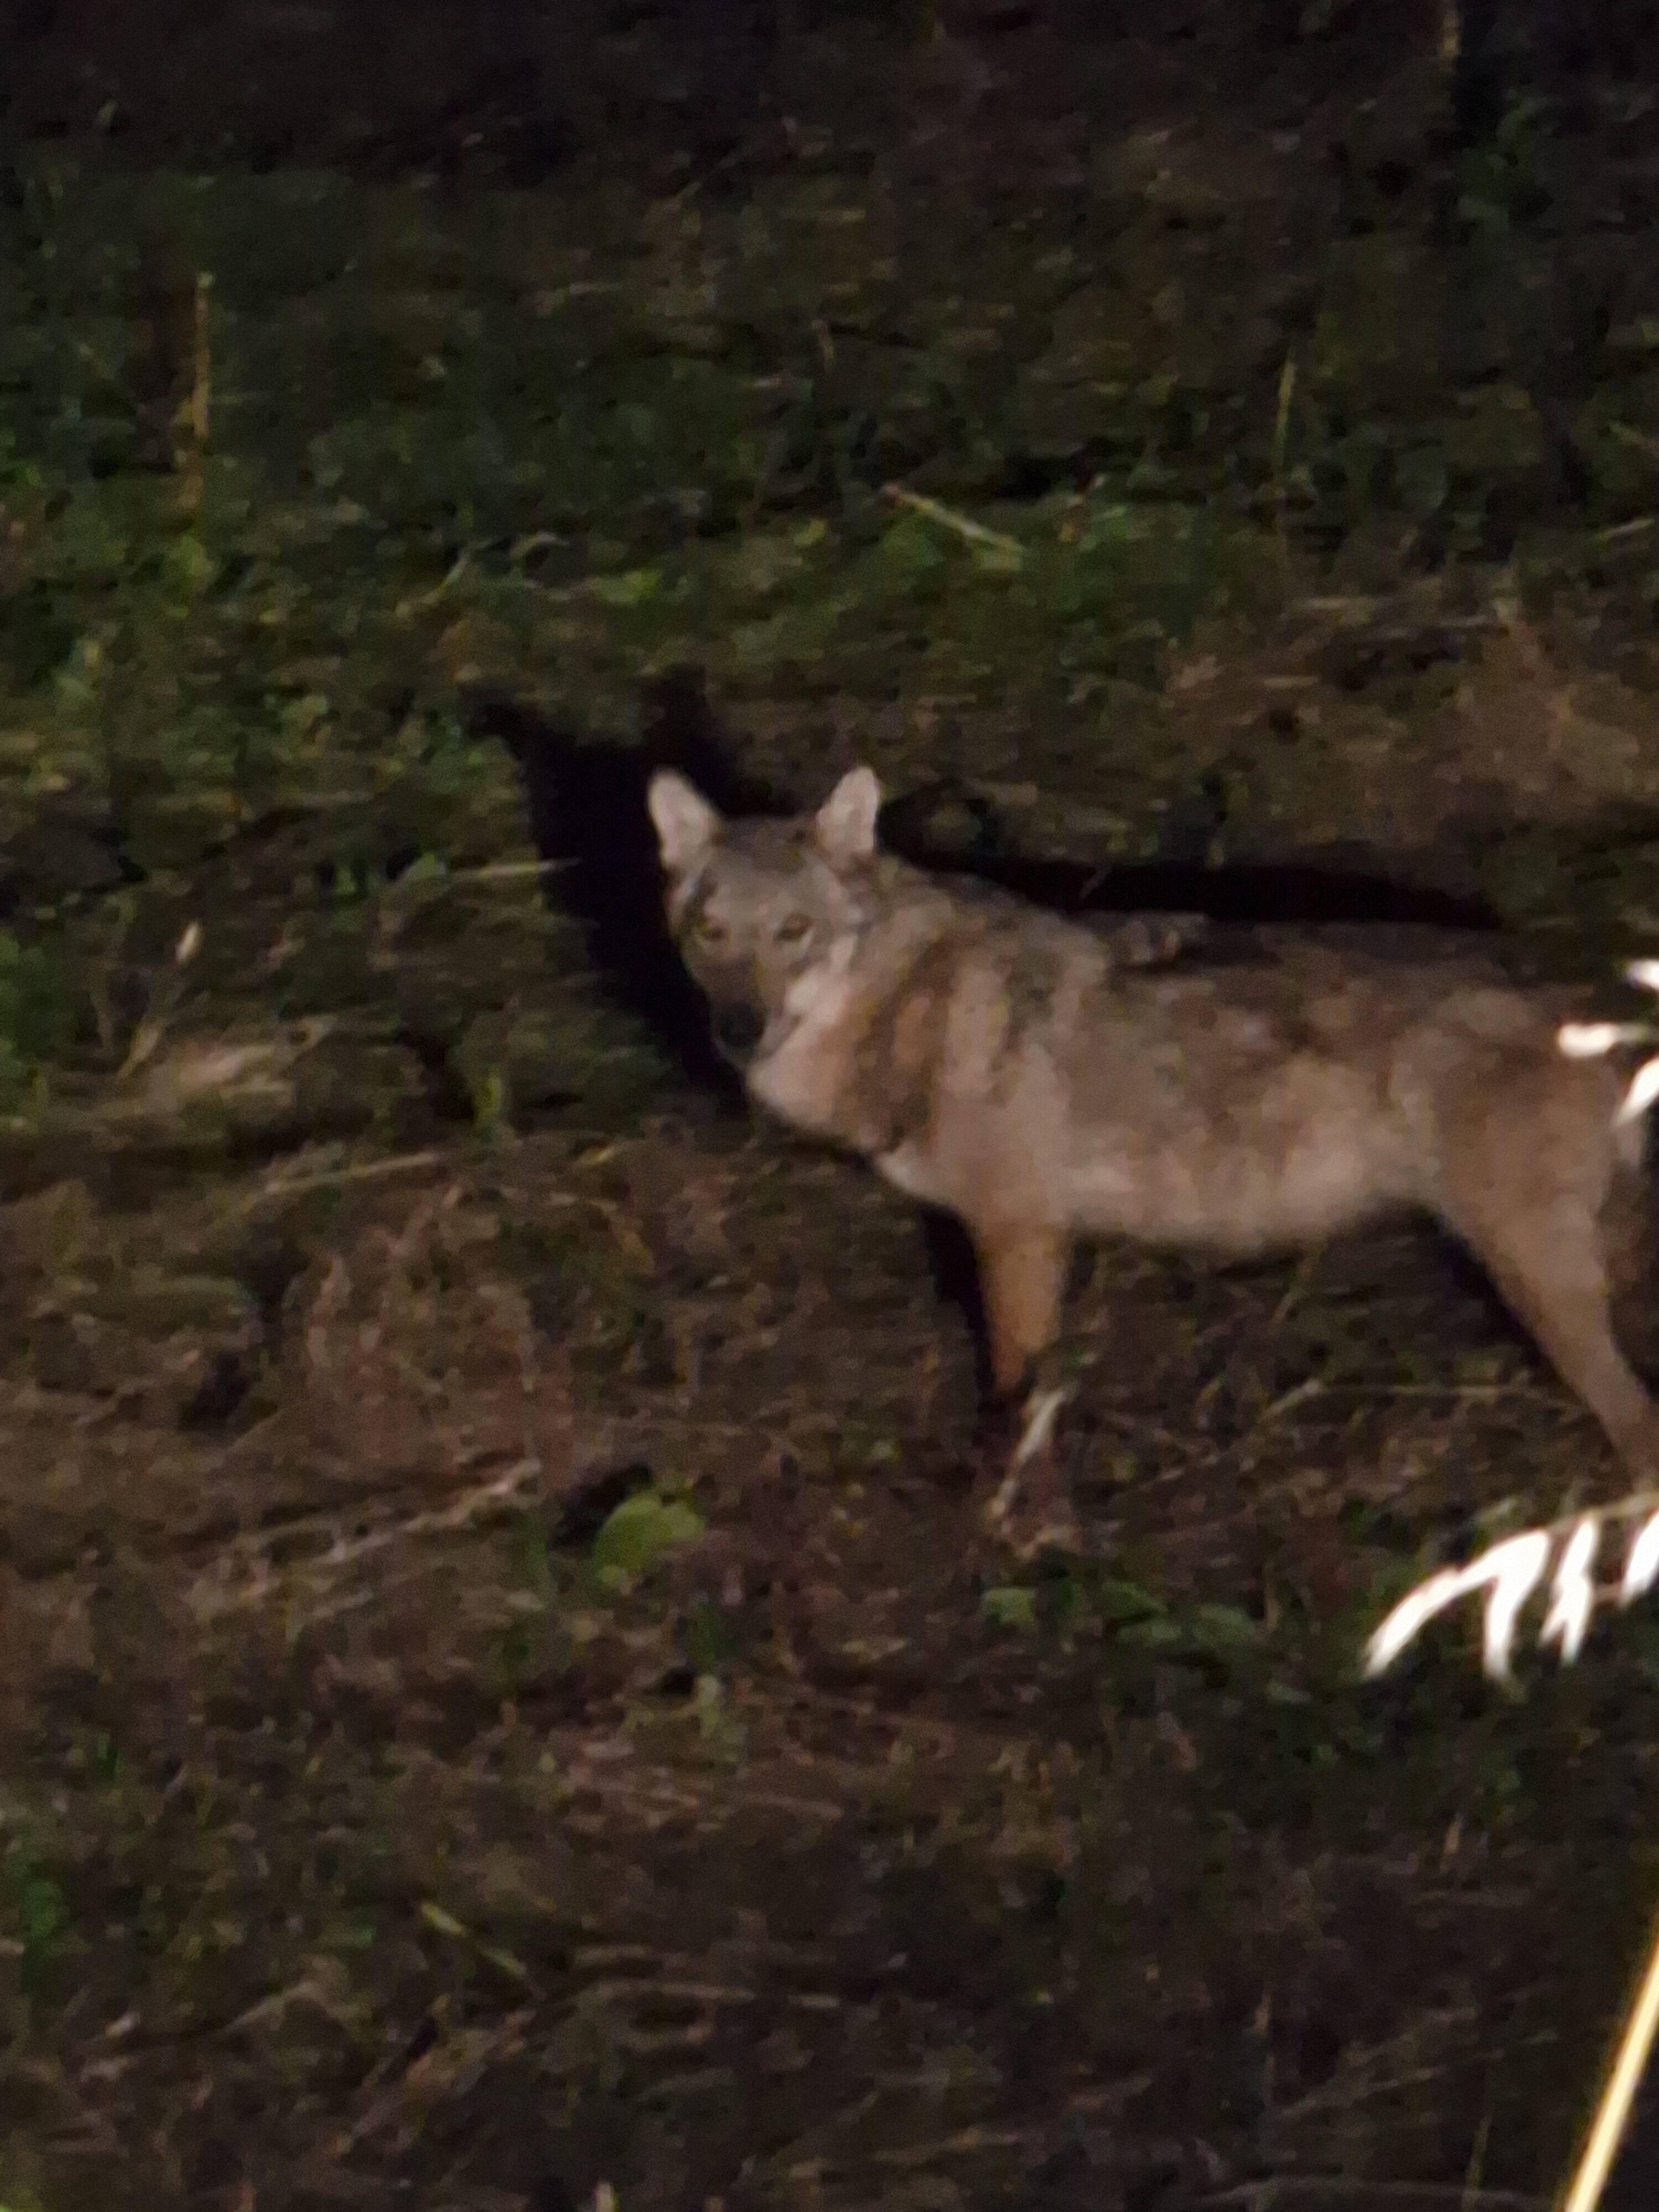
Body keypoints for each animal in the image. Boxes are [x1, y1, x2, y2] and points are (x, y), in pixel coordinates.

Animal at [648, 761, 1659, 1549]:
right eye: (710, 932)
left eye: (794, 934)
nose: (738, 1032)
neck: (910, 1007)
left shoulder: (1018, 1232)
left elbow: (1023, 1396)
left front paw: (1020, 1527)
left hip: (1544, 1286)